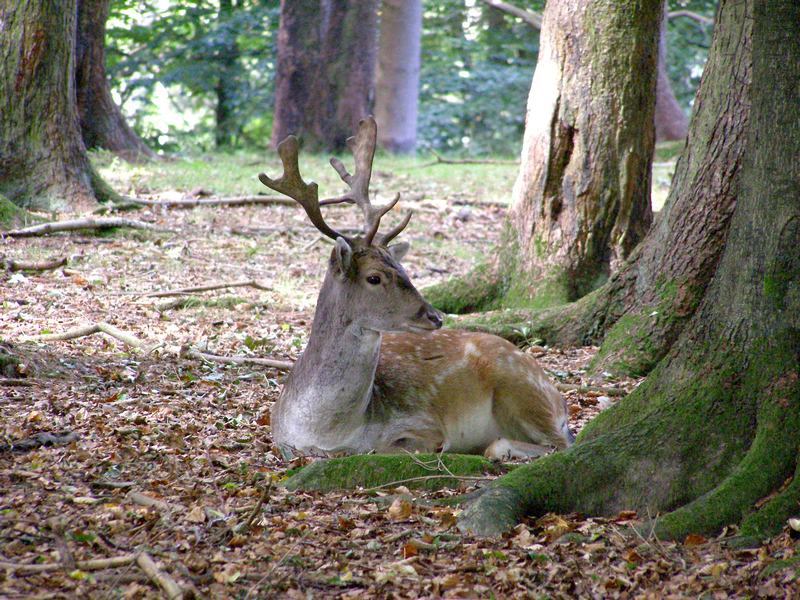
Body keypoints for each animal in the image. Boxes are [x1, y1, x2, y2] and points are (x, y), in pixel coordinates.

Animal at [262, 117, 576, 462]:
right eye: (374, 278)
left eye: (403, 270)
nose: (434, 316)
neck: (326, 432)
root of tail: (559, 398)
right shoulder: (281, 439)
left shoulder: (424, 425)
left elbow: (385, 449)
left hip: (519, 386)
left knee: (559, 445)